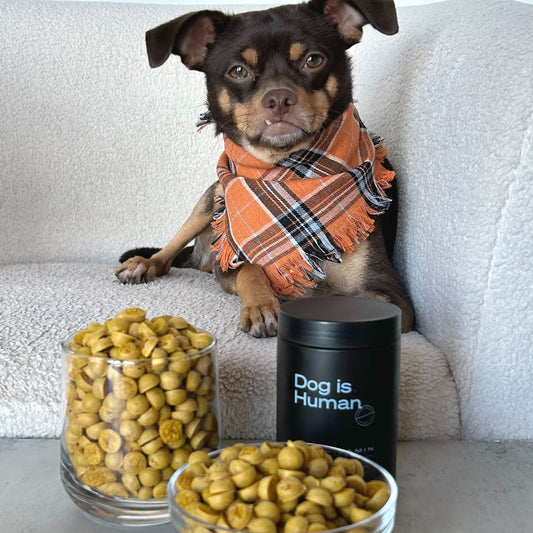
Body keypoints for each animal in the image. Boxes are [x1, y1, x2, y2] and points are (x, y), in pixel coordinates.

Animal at [117, 0, 416, 336]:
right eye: (238, 71)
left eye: (313, 60)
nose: (279, 98)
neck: (284, 169)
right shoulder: (228, 267)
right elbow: (250, 269)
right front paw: (261, 305)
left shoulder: (391, 295)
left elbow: (334, 298)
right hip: (212, 197)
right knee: (170, 252)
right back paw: (144, 264)